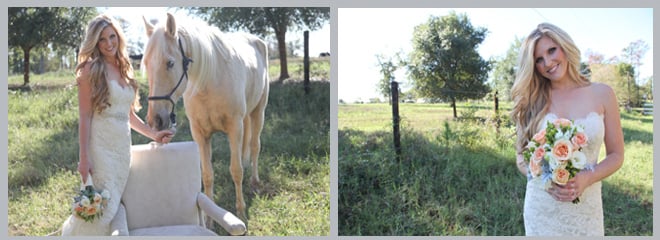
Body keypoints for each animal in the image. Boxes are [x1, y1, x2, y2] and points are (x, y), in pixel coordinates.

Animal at [143, 12, 270, 223]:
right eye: (145, 63)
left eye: (170, 63)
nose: (156, 120)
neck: (209, 83)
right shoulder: (200, 134)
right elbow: (207, 175)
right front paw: (210, 219)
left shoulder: (234, 128)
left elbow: (236, 170)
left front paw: (241, 212)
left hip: (257, 113)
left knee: (254, 146)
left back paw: (254, 182)